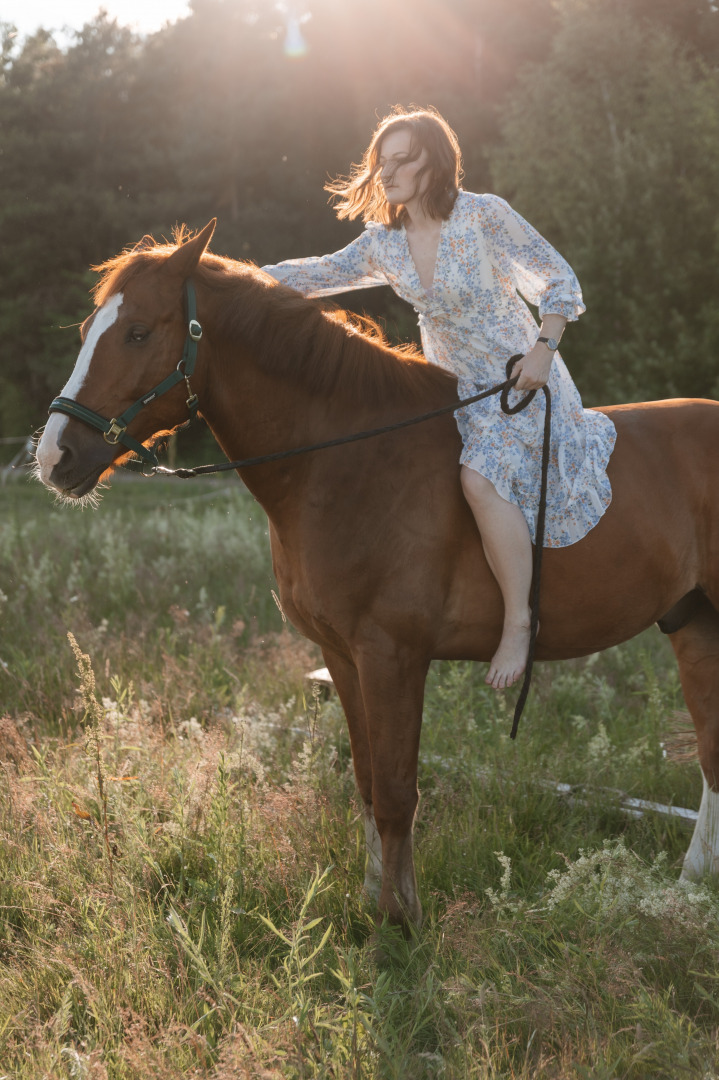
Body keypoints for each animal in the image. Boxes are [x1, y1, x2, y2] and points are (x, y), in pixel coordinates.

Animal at [36, 223, 716, 924]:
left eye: (138, 331)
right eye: (90, 326)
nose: (55, 456)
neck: (348, 463)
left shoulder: (393, 656)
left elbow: (395, 793)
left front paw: (398, 922)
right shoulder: (341, 656)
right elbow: (365, 784)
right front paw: (374, 900)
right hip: (694, 626)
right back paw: (690, 887)